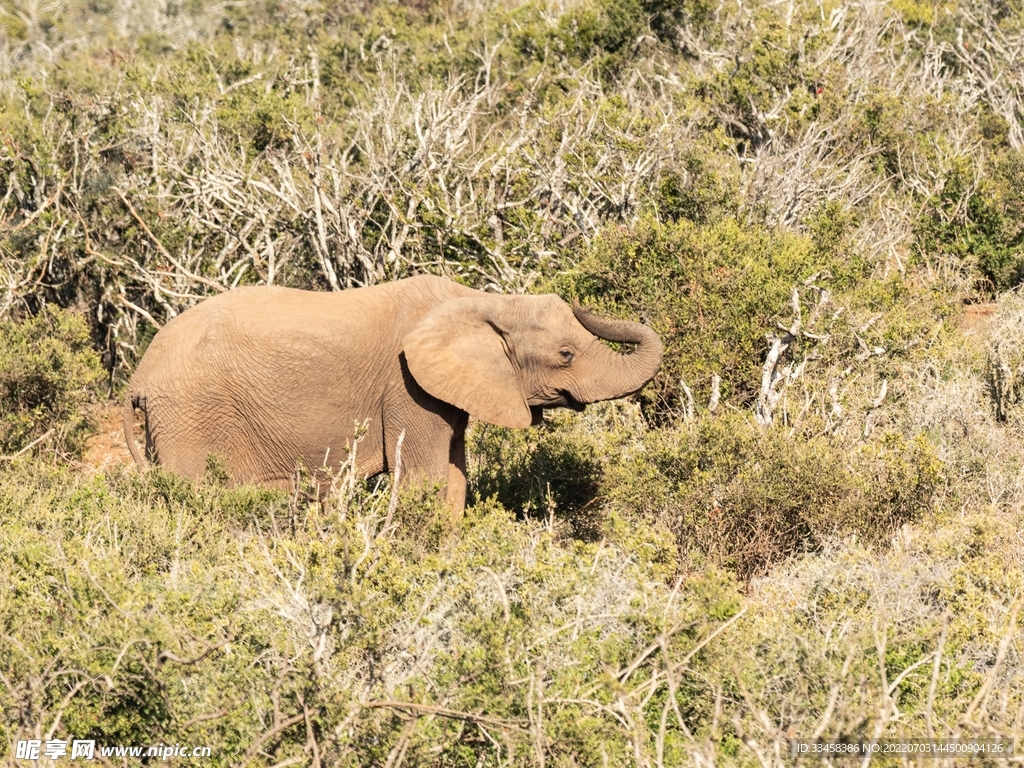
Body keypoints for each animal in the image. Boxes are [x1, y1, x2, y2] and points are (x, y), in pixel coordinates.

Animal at [121, 274, 663, 514]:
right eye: (566, 354)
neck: (480, 300)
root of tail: (138, 376)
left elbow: (454, 479)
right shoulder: (406, 389)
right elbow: (426, 480)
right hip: (189, 415)